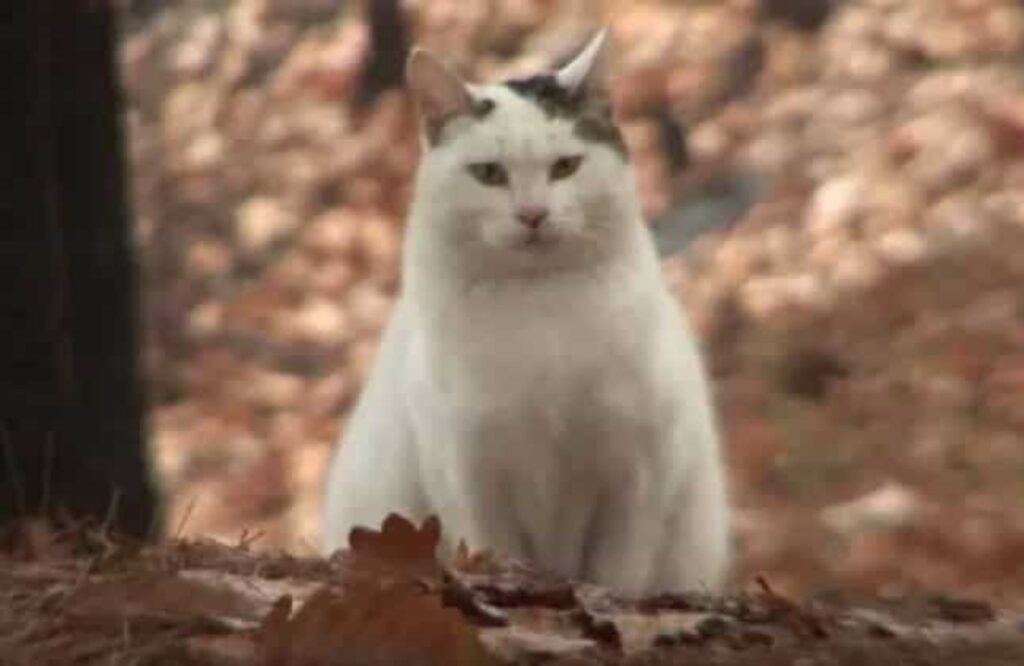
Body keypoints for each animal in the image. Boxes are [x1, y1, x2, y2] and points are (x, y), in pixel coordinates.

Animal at [319, 29, 729, 590]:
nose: (533, 215)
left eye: (566, 166)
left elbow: (618, 572)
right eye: (489, 174)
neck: (540, 306)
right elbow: (497, 551)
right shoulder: (472, 481)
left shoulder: (637, 477)